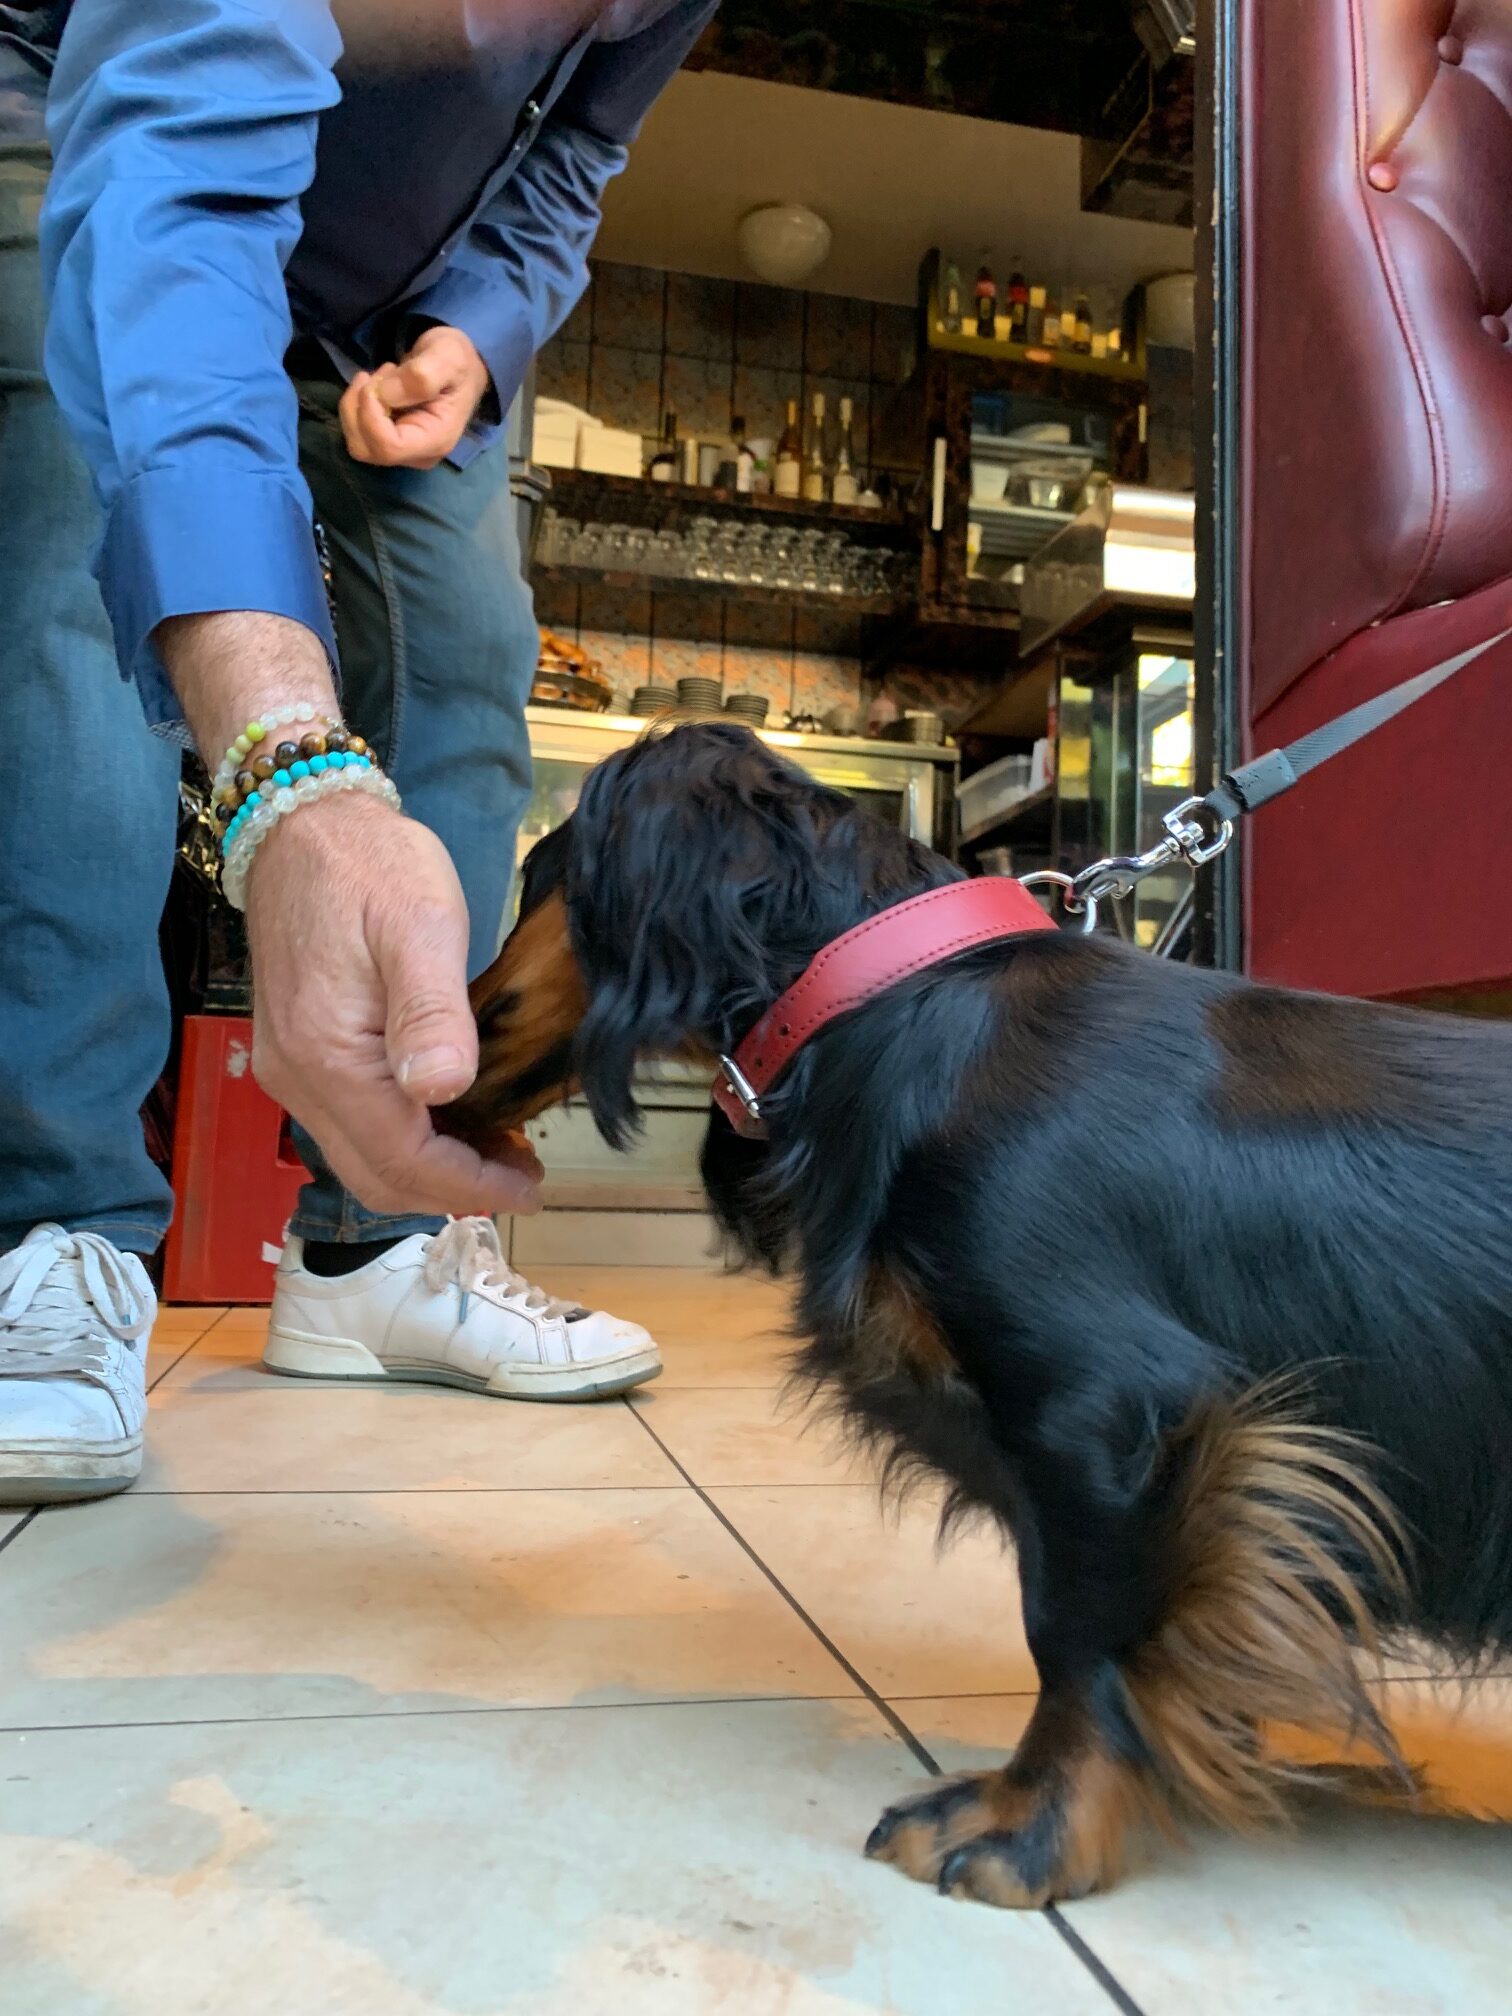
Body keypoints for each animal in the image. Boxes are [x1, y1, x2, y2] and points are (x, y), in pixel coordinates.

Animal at [437, 721, 1512, 1903]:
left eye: (537, 876)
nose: (441, 1041)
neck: (894, 999)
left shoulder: (1109, 1414)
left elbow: (1076, 1638)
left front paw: (1026, 1826)